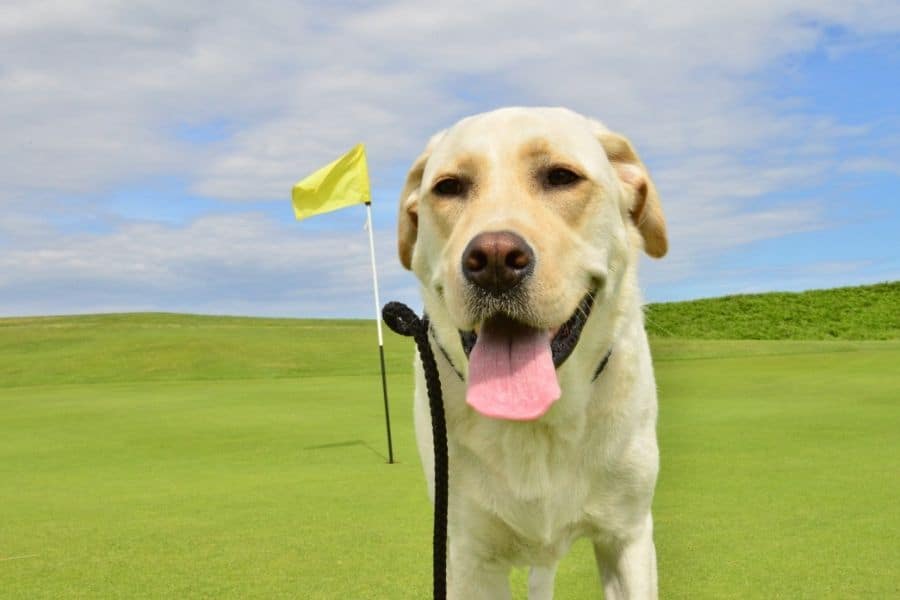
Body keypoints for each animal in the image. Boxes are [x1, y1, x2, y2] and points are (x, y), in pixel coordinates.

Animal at [398, 105, 664, 596]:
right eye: (448, 187)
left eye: (561, 177)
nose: (494, 260)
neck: (538, 420)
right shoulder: (468, 556)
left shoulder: (629, 537)